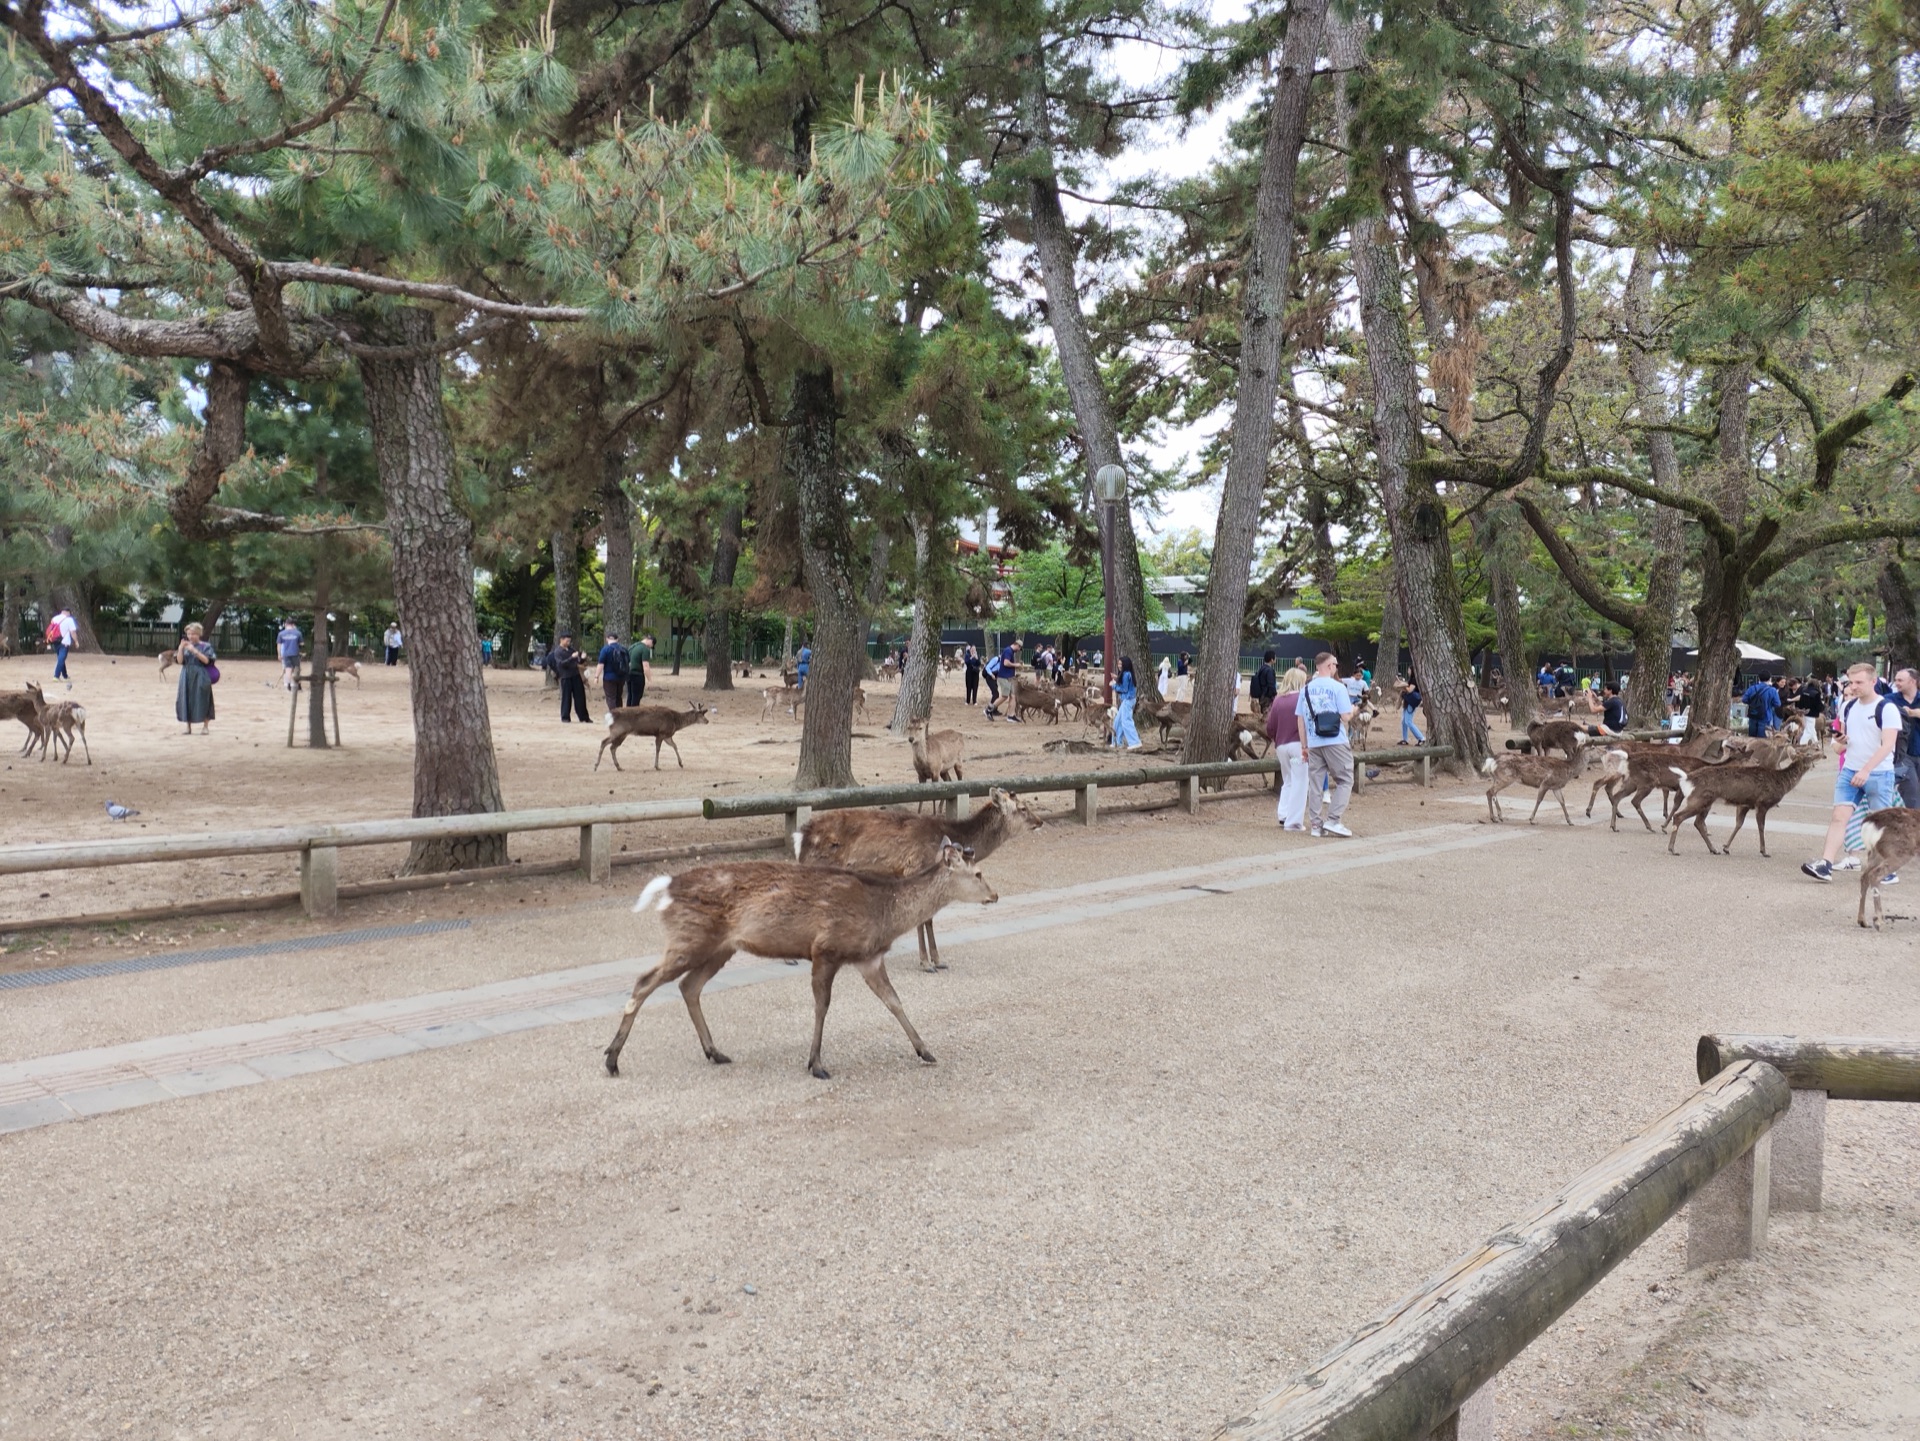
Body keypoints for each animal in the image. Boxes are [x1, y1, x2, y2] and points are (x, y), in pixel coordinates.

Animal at [606, 841, 998, 1079]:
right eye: (978, 873)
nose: (994, 895)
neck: (882, 913)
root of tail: (667, 886)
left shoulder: (868, 959)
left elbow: (894, 1002)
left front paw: (925, 1050)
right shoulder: (825, 949)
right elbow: (822, 1006)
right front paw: (817, 1064)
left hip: (720, 948)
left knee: (689, 987)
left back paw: (714, 1052)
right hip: (690, 939)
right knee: (644, 982)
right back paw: (612, 1059)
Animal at [795, 788, 1042, 970]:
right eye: (1022, 808)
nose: (1040, 821)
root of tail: (800, 836)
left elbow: (928, 917)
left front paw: (938, 960)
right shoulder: (917, 868)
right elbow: (925, 918)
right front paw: (926, 962)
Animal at [1665, 739, 1823, 857]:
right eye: (1809, 755)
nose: (1818, 759)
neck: (1781, 783)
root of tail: (1687, 777)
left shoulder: (1746, 804)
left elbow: (1739, 824)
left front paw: (1726, 847)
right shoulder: (1762, 802)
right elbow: (1761, 826)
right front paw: (1764, 851)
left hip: (1706, 801)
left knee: (1698, 822)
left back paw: (1713, 849)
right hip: (1699, 799)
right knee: (1679, 816)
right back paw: (1672, 849)